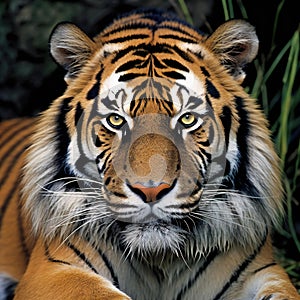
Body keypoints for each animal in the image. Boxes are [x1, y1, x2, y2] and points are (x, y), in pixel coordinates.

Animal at [0, 8, 300, 300]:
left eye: (187, 118)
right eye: (116, 120)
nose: (151, 190)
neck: (159, 259)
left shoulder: (263, 271)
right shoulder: (52, 271)